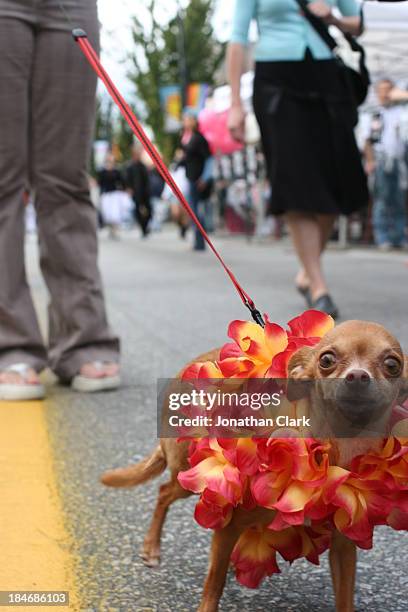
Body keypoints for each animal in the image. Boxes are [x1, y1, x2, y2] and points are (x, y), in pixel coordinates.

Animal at [102, 320, 408, 612]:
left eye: (392, 365)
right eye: (327, 360)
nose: (357, 376)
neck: (331, 451)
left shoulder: (344, 547)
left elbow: (345, 598)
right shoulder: (229, 527)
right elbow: (213, 584)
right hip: (189, 476)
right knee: (164, 492)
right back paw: (151, 547)